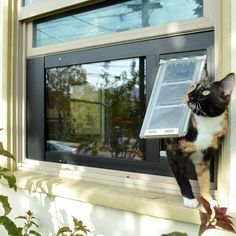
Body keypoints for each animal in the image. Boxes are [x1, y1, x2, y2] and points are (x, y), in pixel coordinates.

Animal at [165, 72, 235, 208]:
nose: (190, 95)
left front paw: (208, 200)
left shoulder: (203, 157)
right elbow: (183, 178)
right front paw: (190, 199)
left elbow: (205, 179)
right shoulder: (174, 153)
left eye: (206, 92)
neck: (206, 121)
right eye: (192, 87)